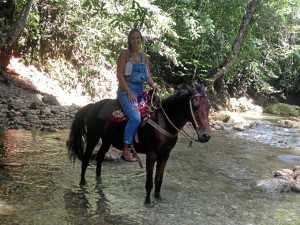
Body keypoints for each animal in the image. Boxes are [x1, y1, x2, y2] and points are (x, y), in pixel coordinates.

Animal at [67, 84, 212, 204]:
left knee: (100, 157)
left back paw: (99, 181)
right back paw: (83, 183)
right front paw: (148, 202)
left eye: (209, 107)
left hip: (107, 141)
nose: (206, 135)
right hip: (93, 137)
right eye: (195, 107)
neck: (163, 122)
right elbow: (149, 181)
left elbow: (158, 179)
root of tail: (92, 106)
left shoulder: (165, 155)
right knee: (86, 159)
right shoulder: (151, 154)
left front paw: (158, 198)